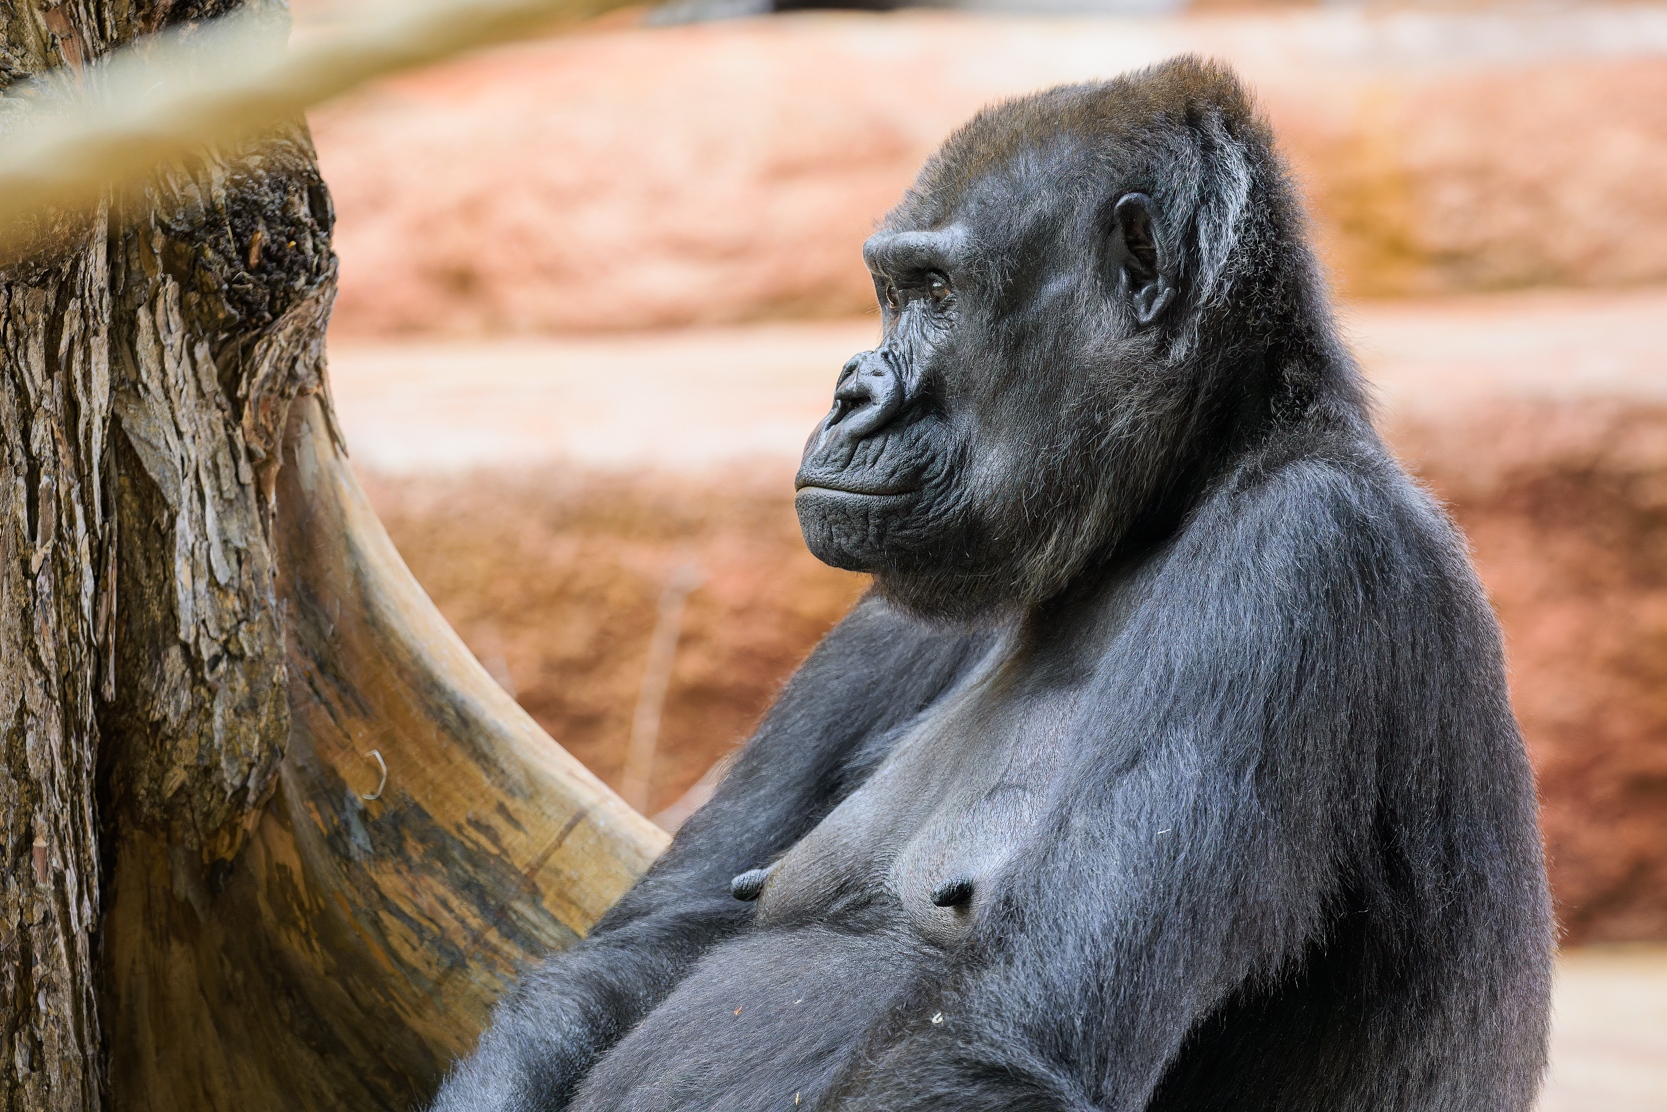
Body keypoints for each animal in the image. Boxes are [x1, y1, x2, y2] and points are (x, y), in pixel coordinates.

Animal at [430, 58, 1546, 1112]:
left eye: (934, 291)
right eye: (889, 289)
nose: (849, 393)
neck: (1170, 500)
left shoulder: (1303, 555)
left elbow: (990, 1046)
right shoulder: (895, 613)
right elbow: (637, 951)